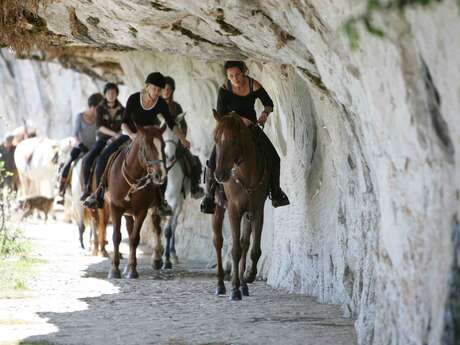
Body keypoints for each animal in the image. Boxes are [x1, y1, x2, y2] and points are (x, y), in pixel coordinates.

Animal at [211, 109, 272, 298]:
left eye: (233, 140)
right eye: (216, 139)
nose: (220, 175)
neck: (246, 174)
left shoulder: (257, 209)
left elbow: (253, 248)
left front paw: (249, 276)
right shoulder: (233, 209)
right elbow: (235, 249)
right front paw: (234, 289)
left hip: (247, 213)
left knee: (245, 242)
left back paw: (243, 284)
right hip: (218, 208)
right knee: (218, 241)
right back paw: (220, 285)